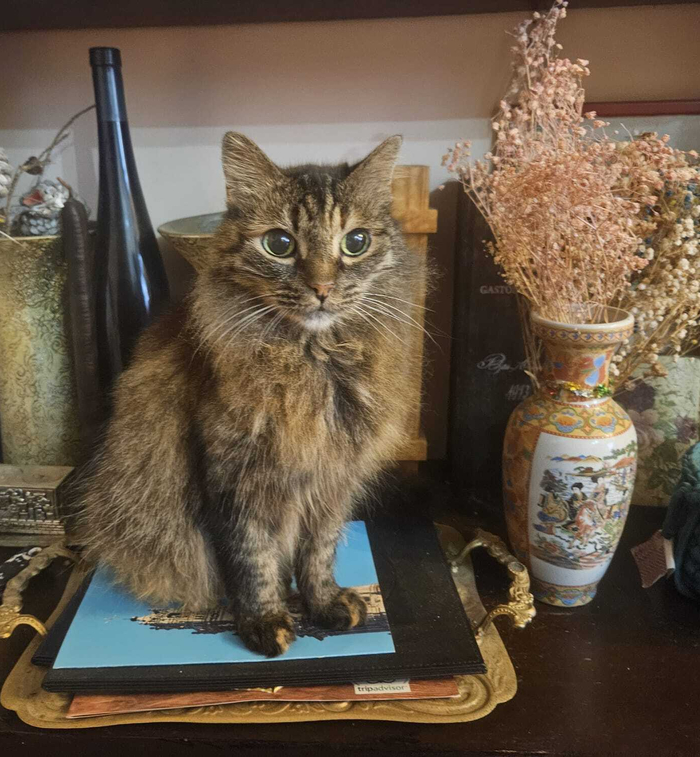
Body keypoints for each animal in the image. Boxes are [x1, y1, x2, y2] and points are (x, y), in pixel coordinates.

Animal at [77, 133, 423, 657]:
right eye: (279, 244)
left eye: (356, 242)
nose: (322, 287)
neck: (313, 366)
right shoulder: (233, 478)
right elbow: (252, 559)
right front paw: (265, 621)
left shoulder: (332, 481)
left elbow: (318, 553)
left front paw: (324, 603)